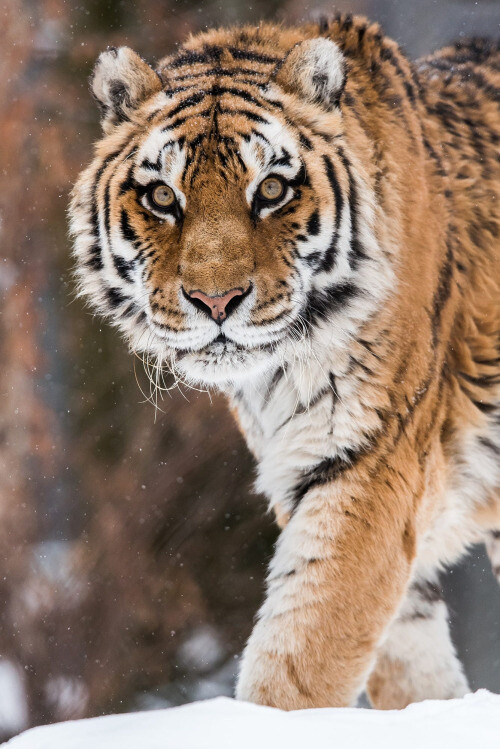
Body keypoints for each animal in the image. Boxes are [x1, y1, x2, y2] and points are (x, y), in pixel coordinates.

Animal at [68, 14, 498, 712]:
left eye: (271, 189)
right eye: (162, 196)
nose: (216, 300)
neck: (275, 374)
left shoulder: (371, 457)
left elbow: (301, 655)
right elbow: (408, 667)